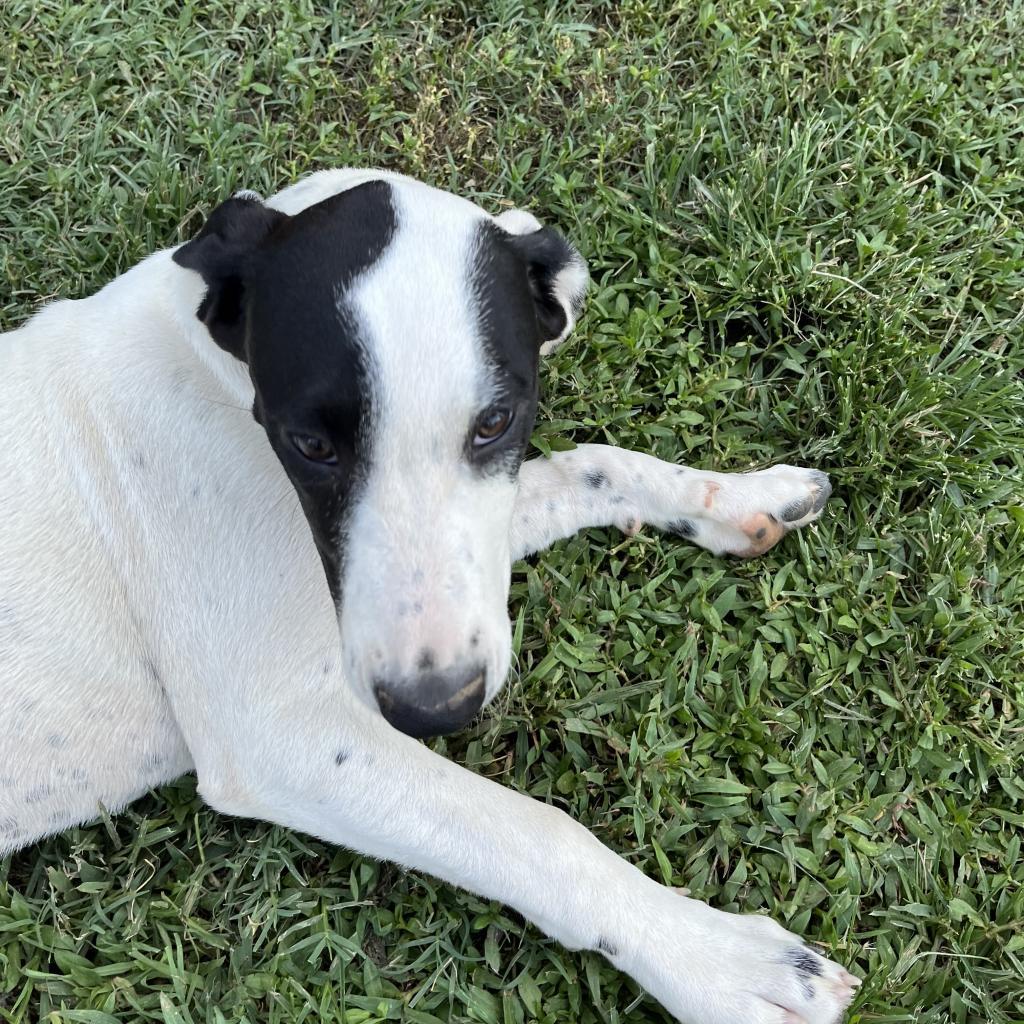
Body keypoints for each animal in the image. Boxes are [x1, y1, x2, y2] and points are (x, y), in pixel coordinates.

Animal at [4, 172, 860, 1019]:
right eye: (308, 443)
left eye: (495, 421)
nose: (435, 710)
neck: (212, 370)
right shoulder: (279, 735)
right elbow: (539, 834)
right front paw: (717, 961)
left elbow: (595, 464)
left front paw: (734, 495)